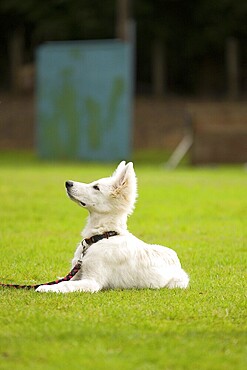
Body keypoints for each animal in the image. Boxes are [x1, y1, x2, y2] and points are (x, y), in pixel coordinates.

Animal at [36, 161, 188, 292]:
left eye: (96, 187)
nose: (68, 183)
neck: (102, 235)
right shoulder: (77, 274)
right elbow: (65, 280)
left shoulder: (92, 281)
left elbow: (66, 285)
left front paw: (46, 288)